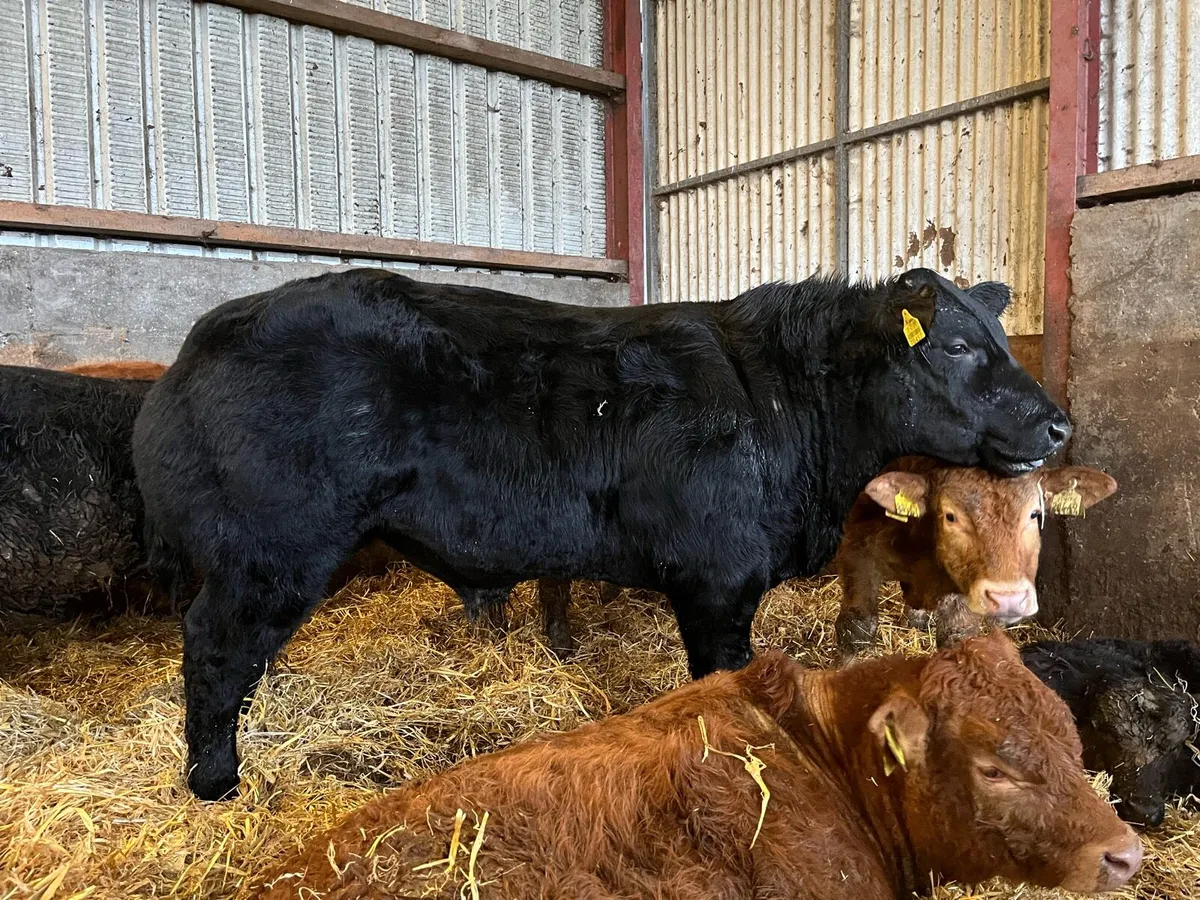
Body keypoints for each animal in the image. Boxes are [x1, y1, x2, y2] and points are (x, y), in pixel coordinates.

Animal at [131, 266, 1070, 800]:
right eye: (954, 345)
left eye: (998, 336)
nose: (1058, 423)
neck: (786, 410)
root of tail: (203, 341)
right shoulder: (718, 581)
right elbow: (722, 681)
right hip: (268, 552)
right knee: (215, 648)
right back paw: (215, 782)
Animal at [834, 458, 1117, 655]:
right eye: (951, 516)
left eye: (1035, 514)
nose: (1008, 599)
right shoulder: (859, 548)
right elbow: (856, 629)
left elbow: (956, 636)